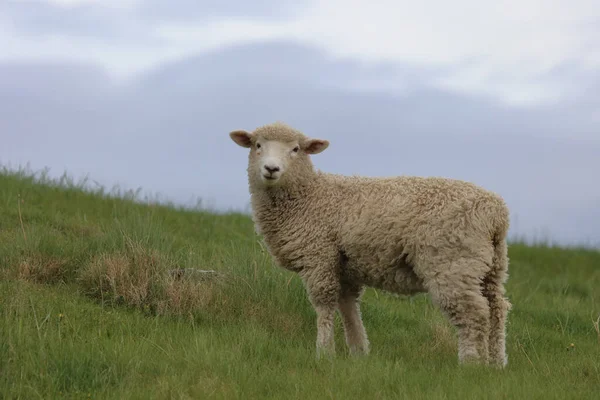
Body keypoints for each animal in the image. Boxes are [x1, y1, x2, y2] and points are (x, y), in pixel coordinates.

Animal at [229, 122, 510, 368]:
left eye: (296, 149)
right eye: (257, 145)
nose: (271, 169)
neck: (308, 197)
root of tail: (495, 212)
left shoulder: (318, 255)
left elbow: (324, 305)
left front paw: (324, 353)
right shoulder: (344, 267)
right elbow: (348, 308)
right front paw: (359, 353)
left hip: (452, 262)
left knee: (474, 314)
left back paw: (471, 364)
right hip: (491, 265)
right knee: (497, 309)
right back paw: (496, 364)